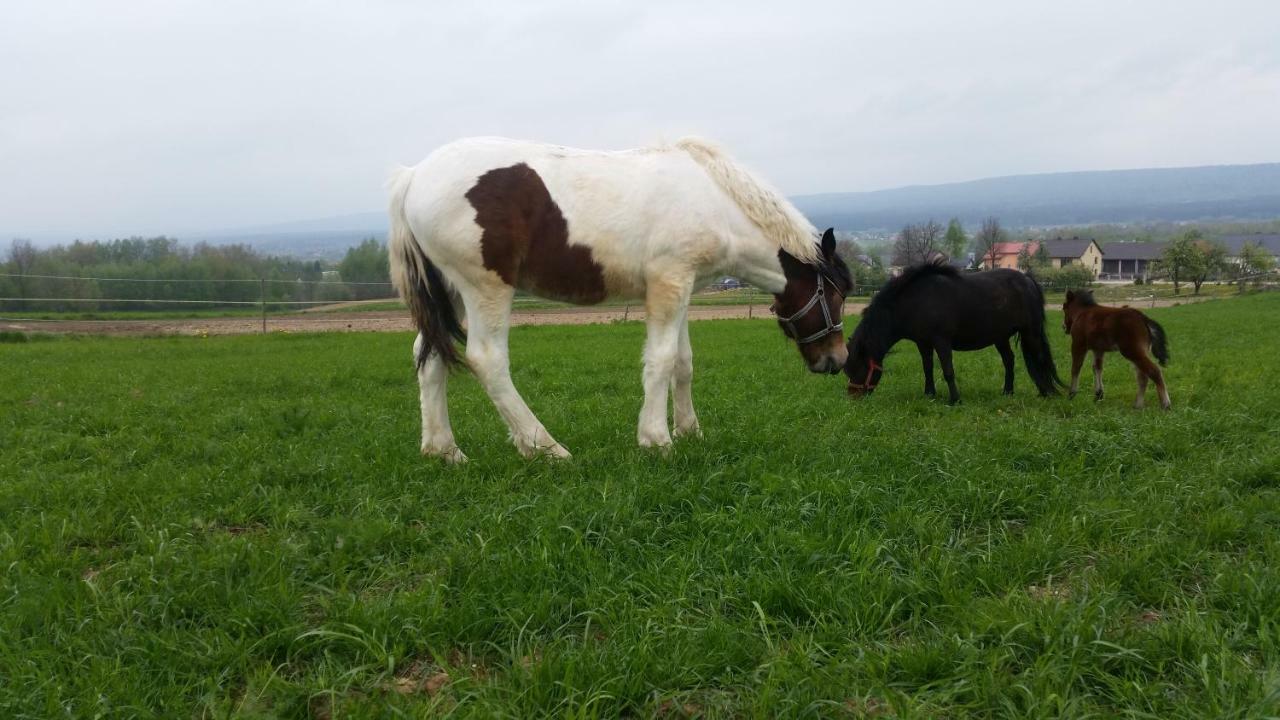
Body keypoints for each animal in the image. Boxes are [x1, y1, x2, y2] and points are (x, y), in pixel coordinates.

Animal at [389, 135, 849, 458]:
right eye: (837, 295)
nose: (839, 360)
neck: (713, 201)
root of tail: (412, 176)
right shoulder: (668, 283)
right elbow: (661, 360)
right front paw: (657, 439)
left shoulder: (684, 287)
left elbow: (683, 362)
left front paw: (690, 431)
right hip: (485, 290)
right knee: (488, 361)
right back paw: (545, 447)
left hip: (449, 293)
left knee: (429, 357)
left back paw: (445, 452)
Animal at [844, 262, 1064, 399]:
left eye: (858, 367)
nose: (853, 397)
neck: (915, 301)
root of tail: (1028, 279)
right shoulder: (923, 344)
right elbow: (927, 368)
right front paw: (929, 394)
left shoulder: (942, 342)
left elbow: (948, 370)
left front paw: (955, 399)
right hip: (1000, 337)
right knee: (1009, 361)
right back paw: (1007, 392)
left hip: (1031, 332)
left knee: (1040, 359)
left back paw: (1045, 392)